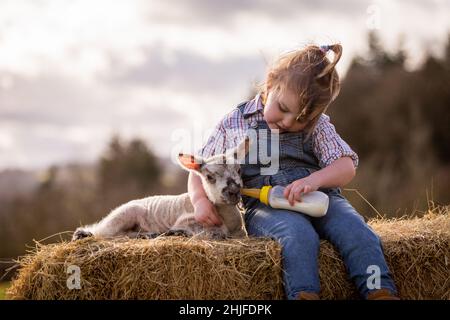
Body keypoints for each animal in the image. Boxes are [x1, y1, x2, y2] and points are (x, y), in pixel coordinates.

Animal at [72, 138, 251, 240]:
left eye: (239, 170)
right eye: (209, 177)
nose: (234, 191)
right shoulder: (188, 220)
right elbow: (213, 232)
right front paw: (179, 232)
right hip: (124, 214)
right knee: (106, 232)